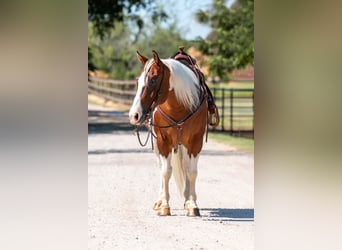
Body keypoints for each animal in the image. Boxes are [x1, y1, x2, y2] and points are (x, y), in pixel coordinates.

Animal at [128, 49, 214, 216]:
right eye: (138, 81)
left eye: (153, 79)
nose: (134, 115)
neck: (179, 107)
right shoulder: (163, 141)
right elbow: (166, 172)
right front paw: (164, 205)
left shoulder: (195, 142)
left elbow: (191, 172)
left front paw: (192, 204)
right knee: (162, 167)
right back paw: (159, 200)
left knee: (185, 166)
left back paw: (187, 198)